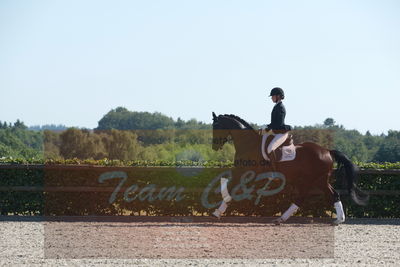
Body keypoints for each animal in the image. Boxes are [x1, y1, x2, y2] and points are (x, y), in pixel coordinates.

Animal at [212, 112, 368, 225]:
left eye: (217, 127)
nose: (214, 147)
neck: (248, 144)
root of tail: (327, 151)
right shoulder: (241, 171)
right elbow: (226, 181)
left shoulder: (245, 172)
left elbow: (230, 187)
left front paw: (218, 211)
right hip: (319, 180)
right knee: (332, 194)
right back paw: (338, 219)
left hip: (313, 179)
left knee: (304, 197)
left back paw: (282, 218)